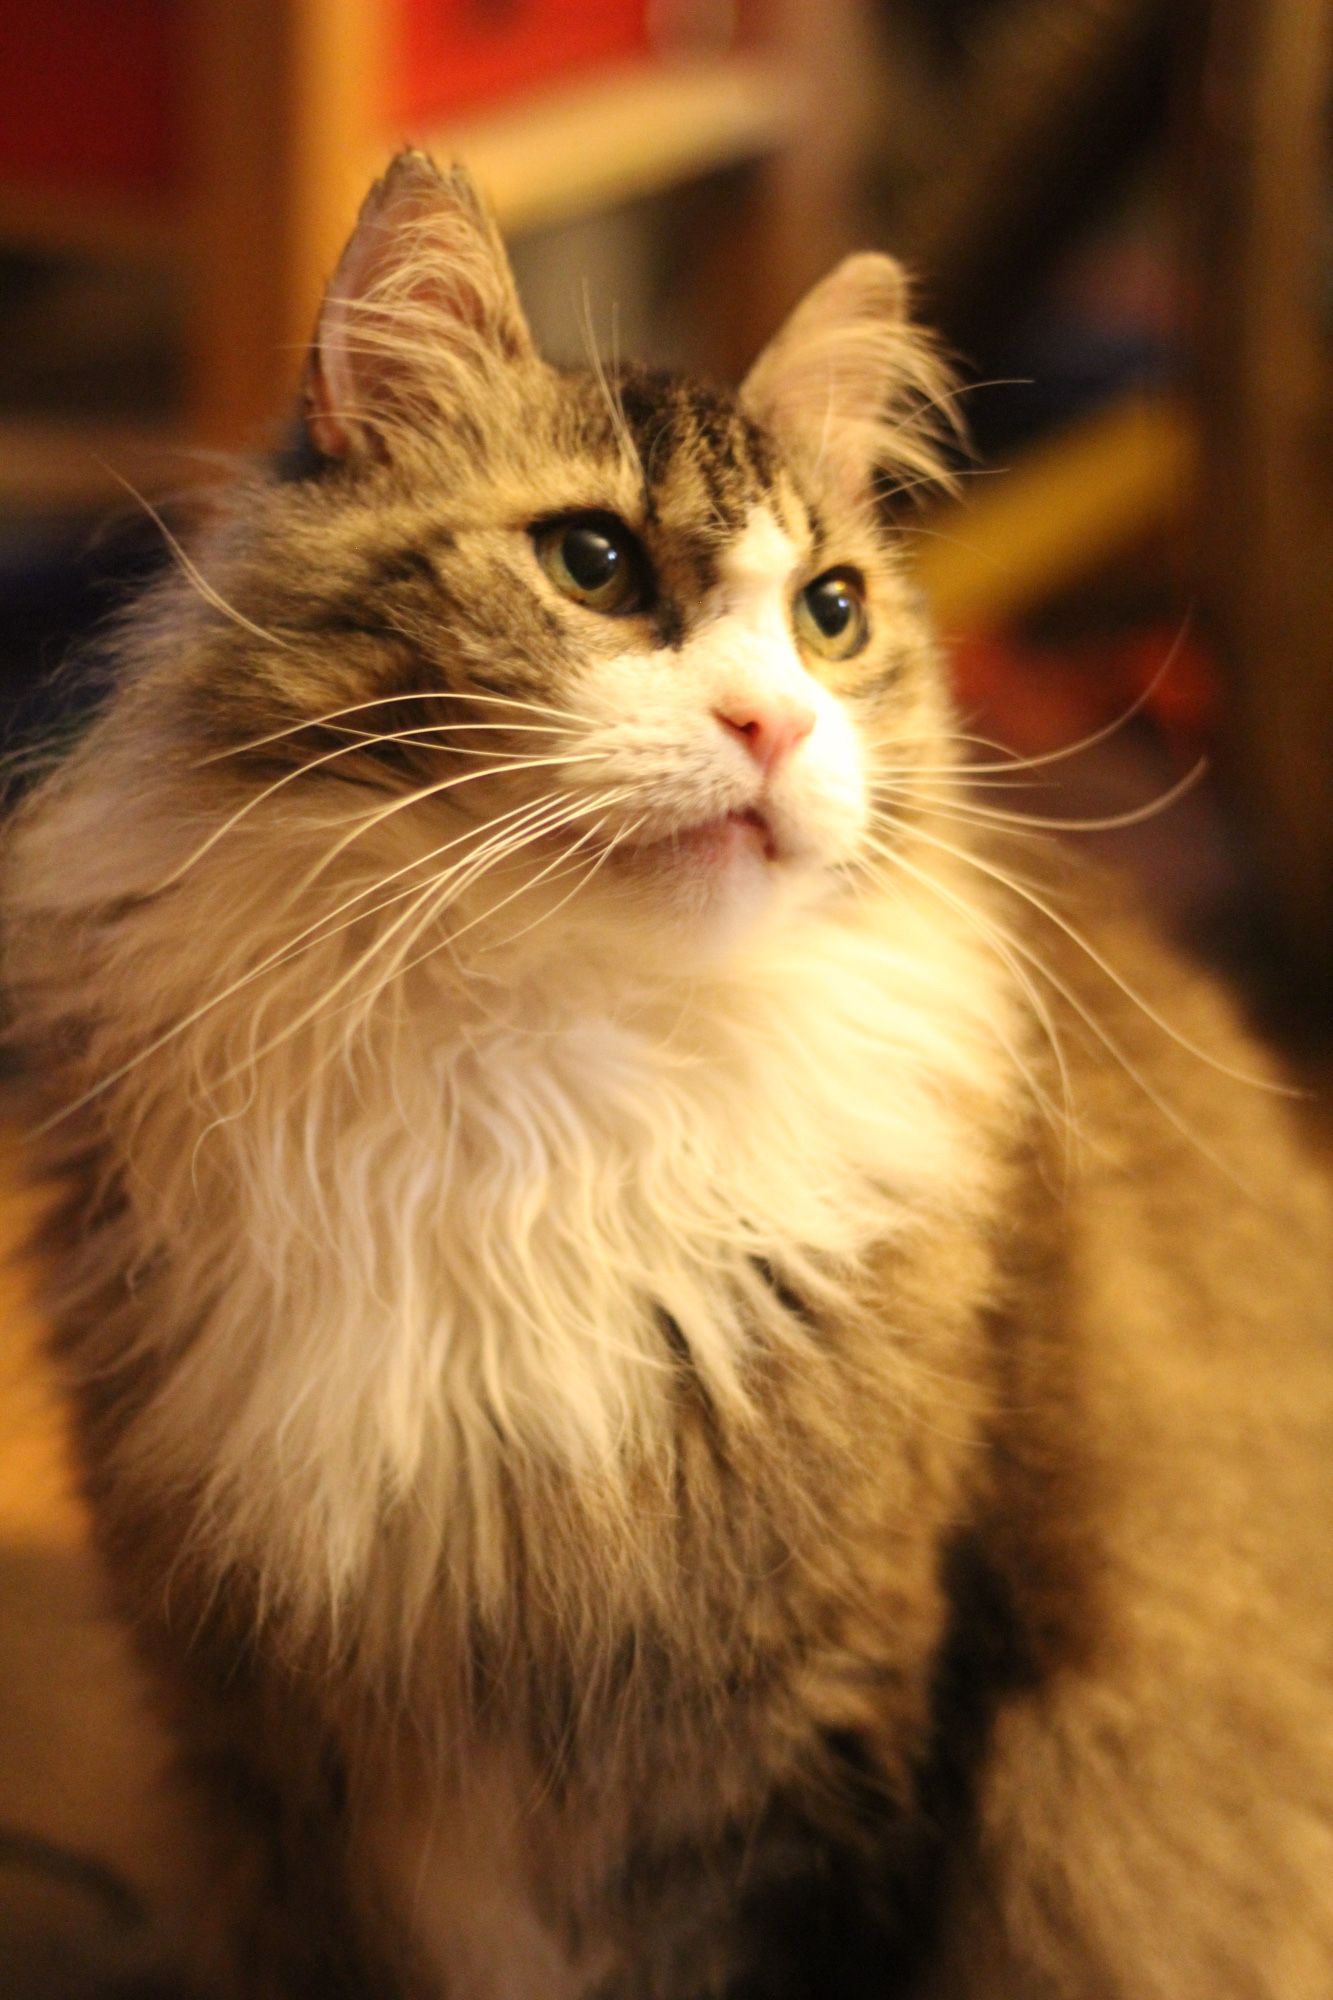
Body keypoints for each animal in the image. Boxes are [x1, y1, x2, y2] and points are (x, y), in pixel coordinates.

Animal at [2, 148, 1328, 1992]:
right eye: (593, 561)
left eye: (830, 614)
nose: (774, 726)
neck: (534, 1091)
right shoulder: (268, 1755)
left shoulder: (814, 1743)